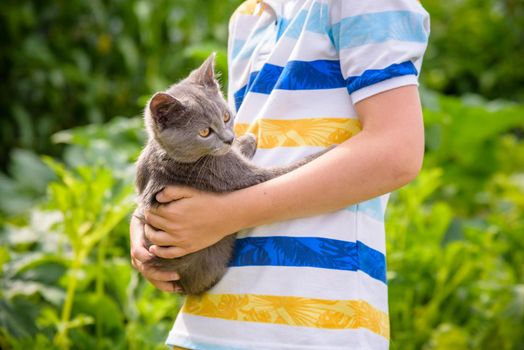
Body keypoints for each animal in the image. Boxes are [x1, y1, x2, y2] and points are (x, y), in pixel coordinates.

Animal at [133, 53, 334, 296]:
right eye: (205, 132)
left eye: (226, 116)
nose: (229, 139)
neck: (168, 156)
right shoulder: (228, 175)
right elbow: (286, 170)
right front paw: (329, 151)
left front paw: (243, 140)